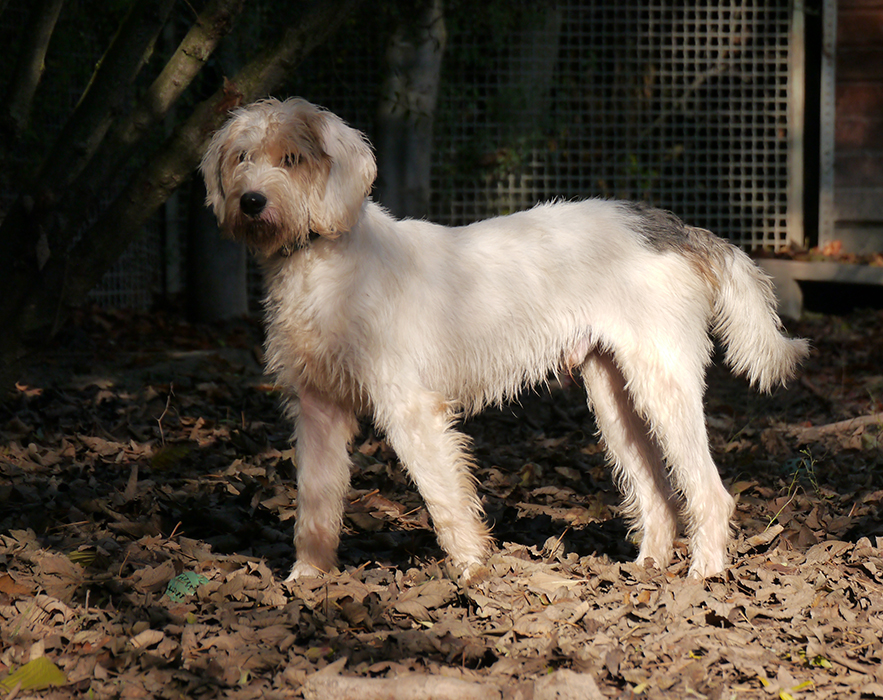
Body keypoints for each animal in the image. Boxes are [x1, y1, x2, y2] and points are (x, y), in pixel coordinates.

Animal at [200, 97, 809, 582]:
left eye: (293, 159)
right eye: (242, 157)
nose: (251, 202)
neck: (322, 259)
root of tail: (669, 226)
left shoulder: (409, 409)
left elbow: (444, 498)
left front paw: (472, 571)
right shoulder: (317, 407)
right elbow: (315, 501)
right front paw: (307, 578)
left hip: (663, 384)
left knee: (709, 492)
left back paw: (704, 574)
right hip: (615, 396)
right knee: (657, 494)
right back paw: (647, 568)